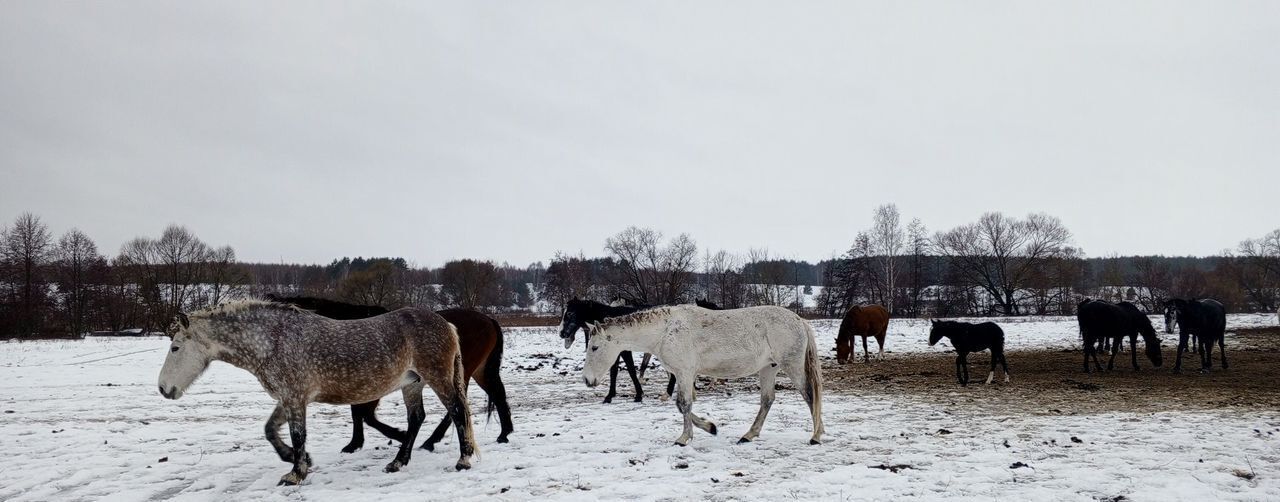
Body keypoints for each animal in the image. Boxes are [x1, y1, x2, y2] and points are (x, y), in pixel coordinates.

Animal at [155, 299, 476, 484]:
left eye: (176, 348)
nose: (163, 388)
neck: (273, 340)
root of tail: (446, 323)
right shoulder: (287, 398)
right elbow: (271, 430)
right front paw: (299, 460)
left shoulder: (295, 398)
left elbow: (298, 435)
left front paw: (295, 474)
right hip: (412, 383)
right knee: (416, 419)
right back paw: (397, 462)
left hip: (436, 377)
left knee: (456, 411)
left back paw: (463, 460)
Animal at [581, 303, 819, 445]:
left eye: (594, 347)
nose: (587, 379)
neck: (665, 331)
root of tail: (800, 321)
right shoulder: (683, 375)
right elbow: (682, 405)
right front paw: (710, 427)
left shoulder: (684, 373)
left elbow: (684, 404)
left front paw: (684, 438)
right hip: (768, 369)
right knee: (767, 400)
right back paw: (749, 435)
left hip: (792, 366)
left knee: (810, 395)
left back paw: (816, 436)